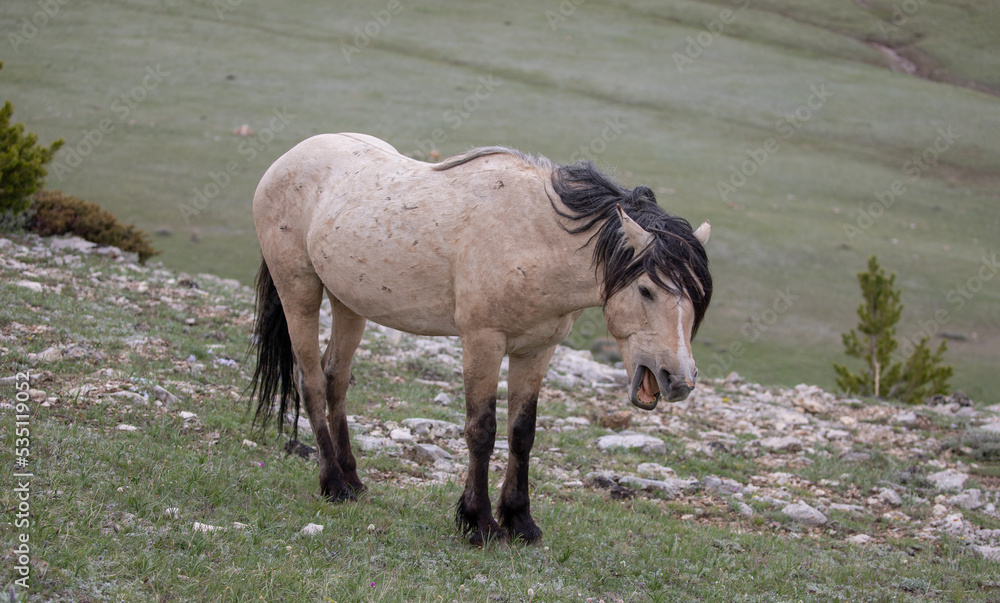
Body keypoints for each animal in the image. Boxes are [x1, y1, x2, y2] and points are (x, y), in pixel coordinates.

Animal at [248, 133, 712, 545]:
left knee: (336, 379)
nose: (679, 379)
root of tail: (287, 159)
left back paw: (354, 479)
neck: (536, 238)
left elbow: (522, 433)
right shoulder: (483, 342)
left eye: (695, 300)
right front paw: (479, 523)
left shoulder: (536, 350)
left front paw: (521, 522)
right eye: (647, 290)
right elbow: (482, 430)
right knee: (310, 381)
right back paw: (334, 485)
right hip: (299, 293)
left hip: (349, 304)